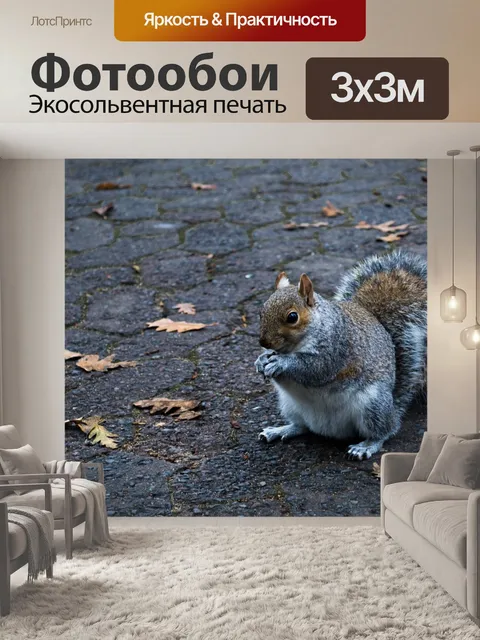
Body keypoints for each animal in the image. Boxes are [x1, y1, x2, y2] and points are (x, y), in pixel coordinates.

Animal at [255, 251, 427, 460]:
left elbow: (315, 369)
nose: (264, 343)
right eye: (261, 312)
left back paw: (366, 446)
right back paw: (280, 430)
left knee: (385, 431)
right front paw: (261, 360)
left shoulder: (338, 347)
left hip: (372, 407)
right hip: (289, 406)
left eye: (292, 317)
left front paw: (281, 362)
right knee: (301, 426)